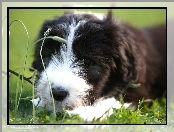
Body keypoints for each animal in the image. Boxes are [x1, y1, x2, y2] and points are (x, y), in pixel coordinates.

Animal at [30, 10, 166, 121]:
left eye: (87, 61)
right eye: (48, 57)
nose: (57, 93)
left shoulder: (137, 86)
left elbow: (119, 100)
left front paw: (88, 113)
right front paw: (40, 102)